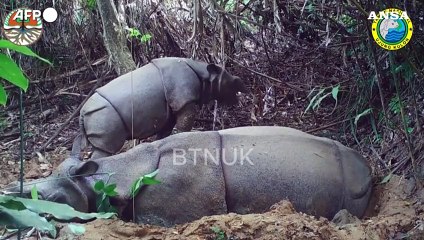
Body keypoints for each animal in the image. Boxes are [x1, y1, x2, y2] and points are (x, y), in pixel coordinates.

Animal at [80, 57, 245, 158]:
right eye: (230, 82)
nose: (241, 81)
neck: (204, 74)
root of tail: (82, 112)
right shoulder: (185, 100)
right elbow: (183, 126)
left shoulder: (172, 109)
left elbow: (164, 133)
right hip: (103, 115)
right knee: (105, 150)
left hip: (96, 115)